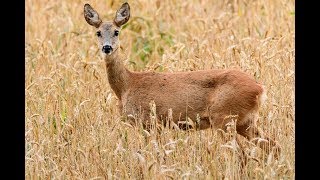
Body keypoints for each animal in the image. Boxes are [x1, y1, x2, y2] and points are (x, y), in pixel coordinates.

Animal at [84, 2, 280, 158]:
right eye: (98, 33)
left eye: (116, 31)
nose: (107, 48)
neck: (127, 86)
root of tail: (260, 89)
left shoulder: (150, 122)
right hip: (245, 122)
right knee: (273, 146)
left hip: (224, 118)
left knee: (242, 155)